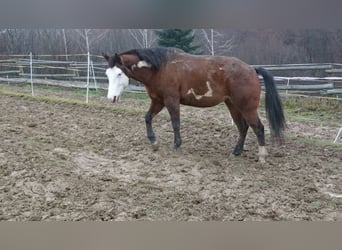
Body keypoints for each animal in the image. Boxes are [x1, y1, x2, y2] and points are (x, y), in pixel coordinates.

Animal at [103, 47, 284, 163]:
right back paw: (236, 152)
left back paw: (262, 156)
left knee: (258, 127)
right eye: (107, 74)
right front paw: (154, 142)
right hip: (233, 105)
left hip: (247, 108)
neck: (160, 68)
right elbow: (147, 118)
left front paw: (176, 145)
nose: (111, 98)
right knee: (243, 128)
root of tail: (252, 69)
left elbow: (175, 123)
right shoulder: (158, 101)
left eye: (119, 73)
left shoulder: (171, 100)